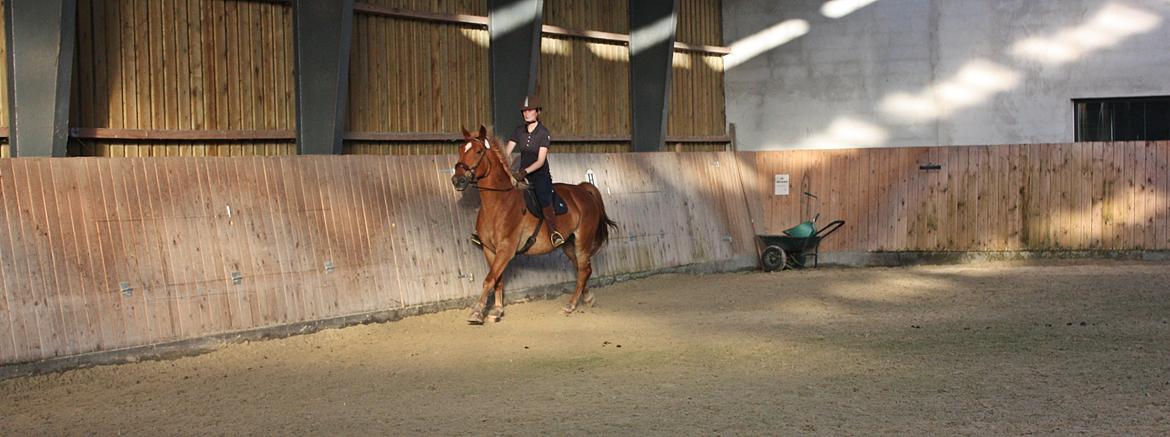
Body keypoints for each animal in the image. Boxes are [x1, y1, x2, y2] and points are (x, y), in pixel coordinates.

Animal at [449, 124, 622, 322]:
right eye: (460, 150)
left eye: (478, 151)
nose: (457, 180)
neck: (498, 202)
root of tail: (582, 190)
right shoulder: (489, 249)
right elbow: (497, 280)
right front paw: (498, 310)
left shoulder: (506, 249)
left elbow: (489, 279)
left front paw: (477, 312)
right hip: (568, 244)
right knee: (582, 269)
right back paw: (587, 298)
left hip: (582, 241)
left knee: (583, 270)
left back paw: (570, 305)